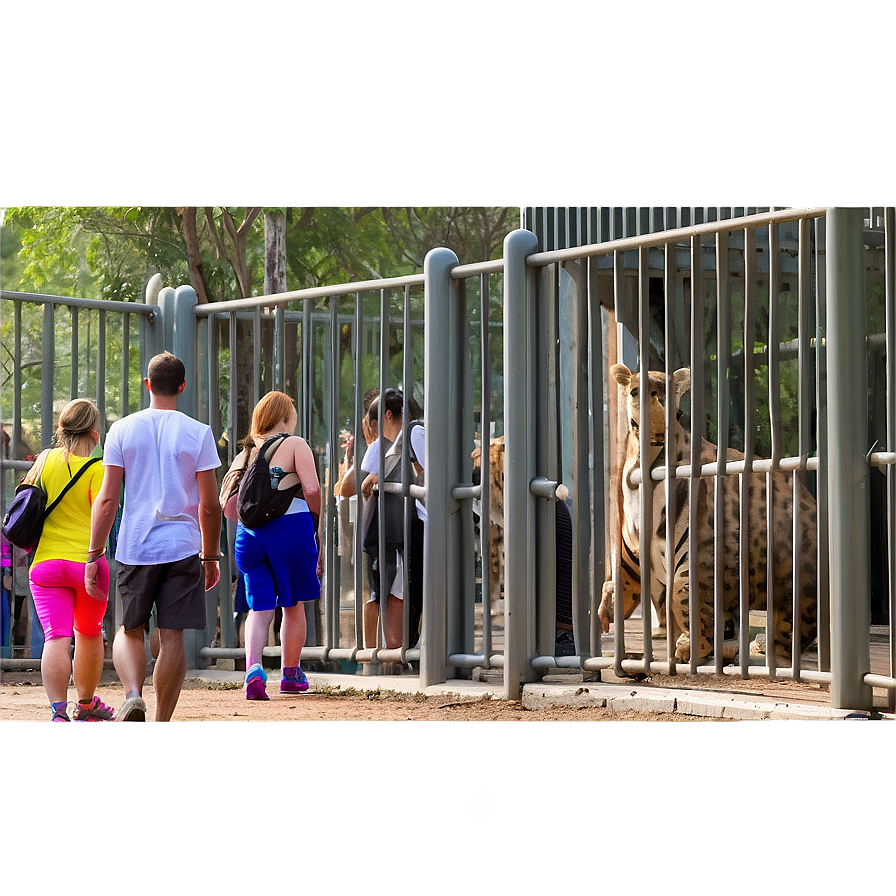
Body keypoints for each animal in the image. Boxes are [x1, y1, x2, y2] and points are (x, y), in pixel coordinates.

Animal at [600, 362, 816, 664]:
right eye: (634, 391)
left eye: (673, 394)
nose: (658, 401)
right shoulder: (631, 552)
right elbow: (624, 583)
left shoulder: (696, 557)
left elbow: (688, 603)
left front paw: (690, 649)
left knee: (784, 636)